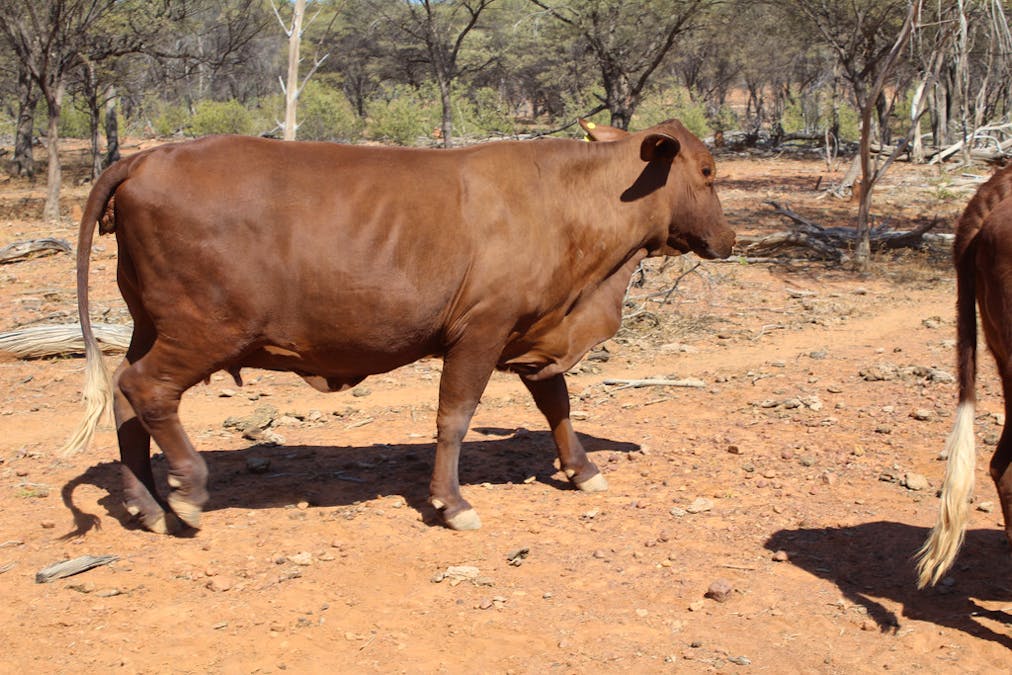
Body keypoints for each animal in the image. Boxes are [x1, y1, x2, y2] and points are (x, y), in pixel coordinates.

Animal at [63, 119, 732, 534]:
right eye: (707, 170)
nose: (729, 238)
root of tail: (147, 156)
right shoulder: (481, 330)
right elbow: (455, 417)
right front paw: (452, 502)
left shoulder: (531, 331)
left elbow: (557, 404)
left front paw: (583, 469)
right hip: (206, 329)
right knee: (147, 389)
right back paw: (187, 491)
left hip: (152, 324)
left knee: (125, 394)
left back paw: (146, 503)